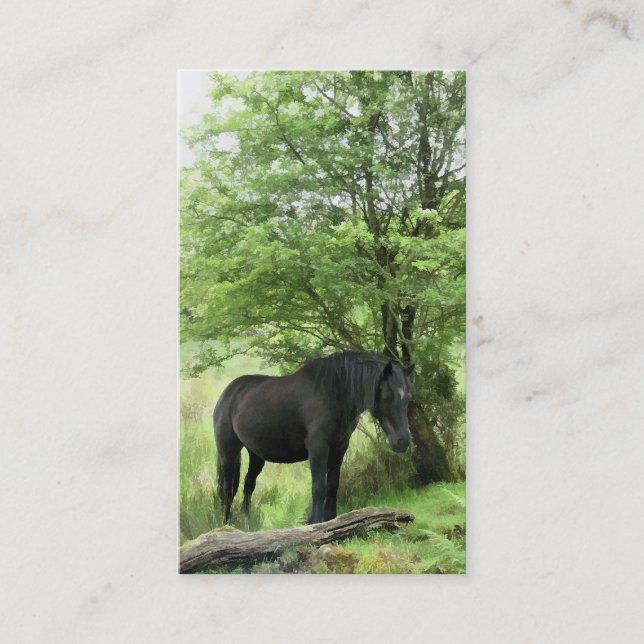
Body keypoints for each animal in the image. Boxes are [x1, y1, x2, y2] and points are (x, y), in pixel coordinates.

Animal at [213, 351, 414, 525]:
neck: (333, 393)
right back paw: (226, 524)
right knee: (227, 490)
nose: (403, 442)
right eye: (388, 397)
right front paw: (314, 522)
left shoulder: (339, 448)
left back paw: (247, 523)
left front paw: (331, 519)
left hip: (256, 455)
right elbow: (318, 487)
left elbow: (332, 485)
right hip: (228, 452)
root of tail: (227, 393)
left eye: (408, 398)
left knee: (248, 486)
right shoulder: (318, 448)